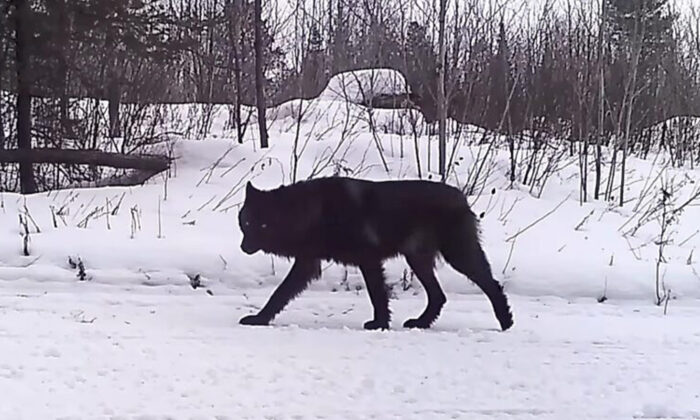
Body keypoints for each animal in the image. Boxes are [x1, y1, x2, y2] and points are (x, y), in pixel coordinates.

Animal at [238, 177, 512, 332]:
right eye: (247, 223)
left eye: (262, 225)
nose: (243, 248)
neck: (311, 211)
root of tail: (461, 196)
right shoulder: (307, 264)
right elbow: (279, 294)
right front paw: (260, 319)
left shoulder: (368, 259)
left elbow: (377, 294)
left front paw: (379, 324)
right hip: (418, 260)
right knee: (439, 296)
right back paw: (420, 323)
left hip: (457, 256)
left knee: (491, 284)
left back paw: (506, 321)